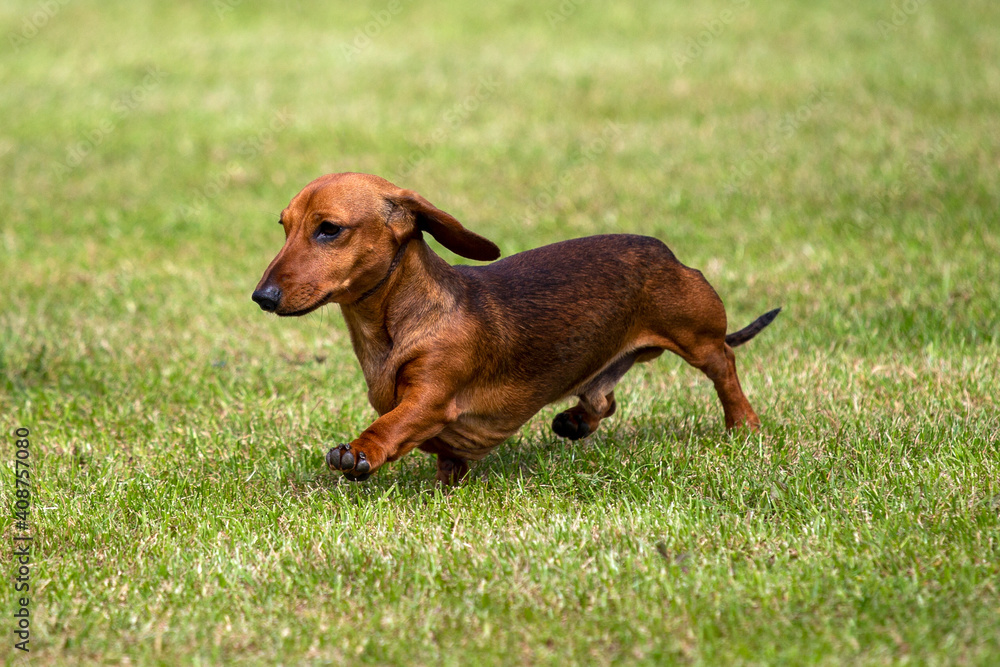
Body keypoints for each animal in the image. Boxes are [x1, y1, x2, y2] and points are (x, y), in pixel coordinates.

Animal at [252, 172, 780, 486]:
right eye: (285, 226)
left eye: (329, 229)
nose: (263, 297)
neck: (390, 325)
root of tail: (668, 254)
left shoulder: (430, 397)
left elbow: (392, 424)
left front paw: (360, 452)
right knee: (603, 397)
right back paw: (576, 420)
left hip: (697, 337)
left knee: (724, 366)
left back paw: (743, 425)